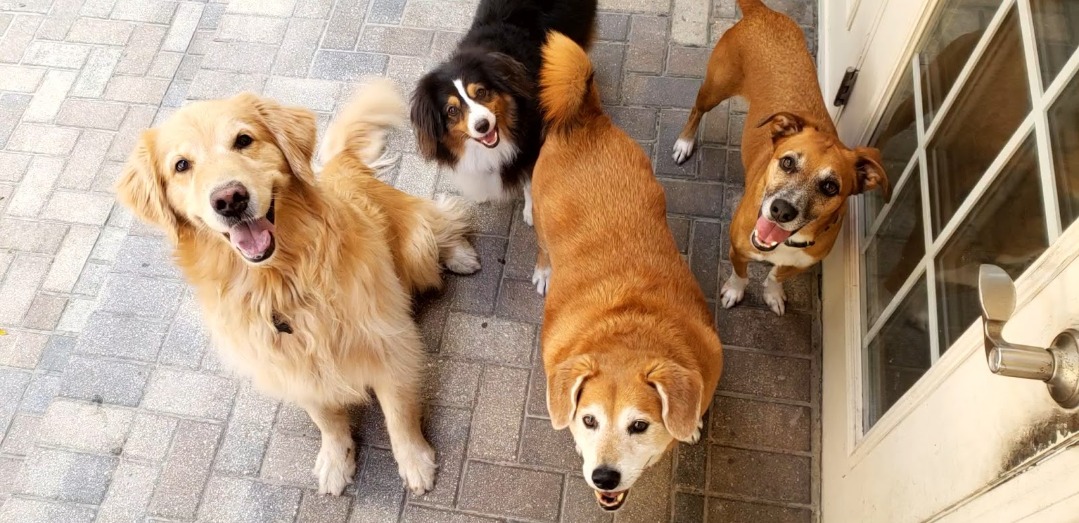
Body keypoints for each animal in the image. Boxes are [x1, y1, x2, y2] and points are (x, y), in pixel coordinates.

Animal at [115, 79, 481, 496]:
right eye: (181, 166)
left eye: (244, 140)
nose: (229, 199)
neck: (283, 282)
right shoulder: (294, 368)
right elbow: (327, 421)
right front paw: (337, 460)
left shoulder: (390, 344)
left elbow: (399, 414)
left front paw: (415, 461)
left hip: (417, 244)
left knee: (444, 219)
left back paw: (460, 254)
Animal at [410, 0, 597, 226]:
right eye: (452, 110)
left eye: (481, 92)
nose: (483, 126)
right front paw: (480, 195)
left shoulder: (531, 145)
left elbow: (529, 181)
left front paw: (531, 212)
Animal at [533, 32, 724, 512]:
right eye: (588, 421)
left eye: (639, 425)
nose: (604, 476)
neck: (629, 326)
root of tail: (584, 119)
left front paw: (690, 425)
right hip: (540, 222)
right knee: (542, 247)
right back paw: (543, 271)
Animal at [671, 0, 891, 316]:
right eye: (787, 162)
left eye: (830, 187)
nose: (781, 210)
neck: (787, 242)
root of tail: (762, 12)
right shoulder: (738, 248)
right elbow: (741, 275)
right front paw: (734, 291)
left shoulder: (799, 263)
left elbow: (776, 276)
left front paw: (773, 293)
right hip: (715, 87)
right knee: (696, 110)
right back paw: (684, 142)